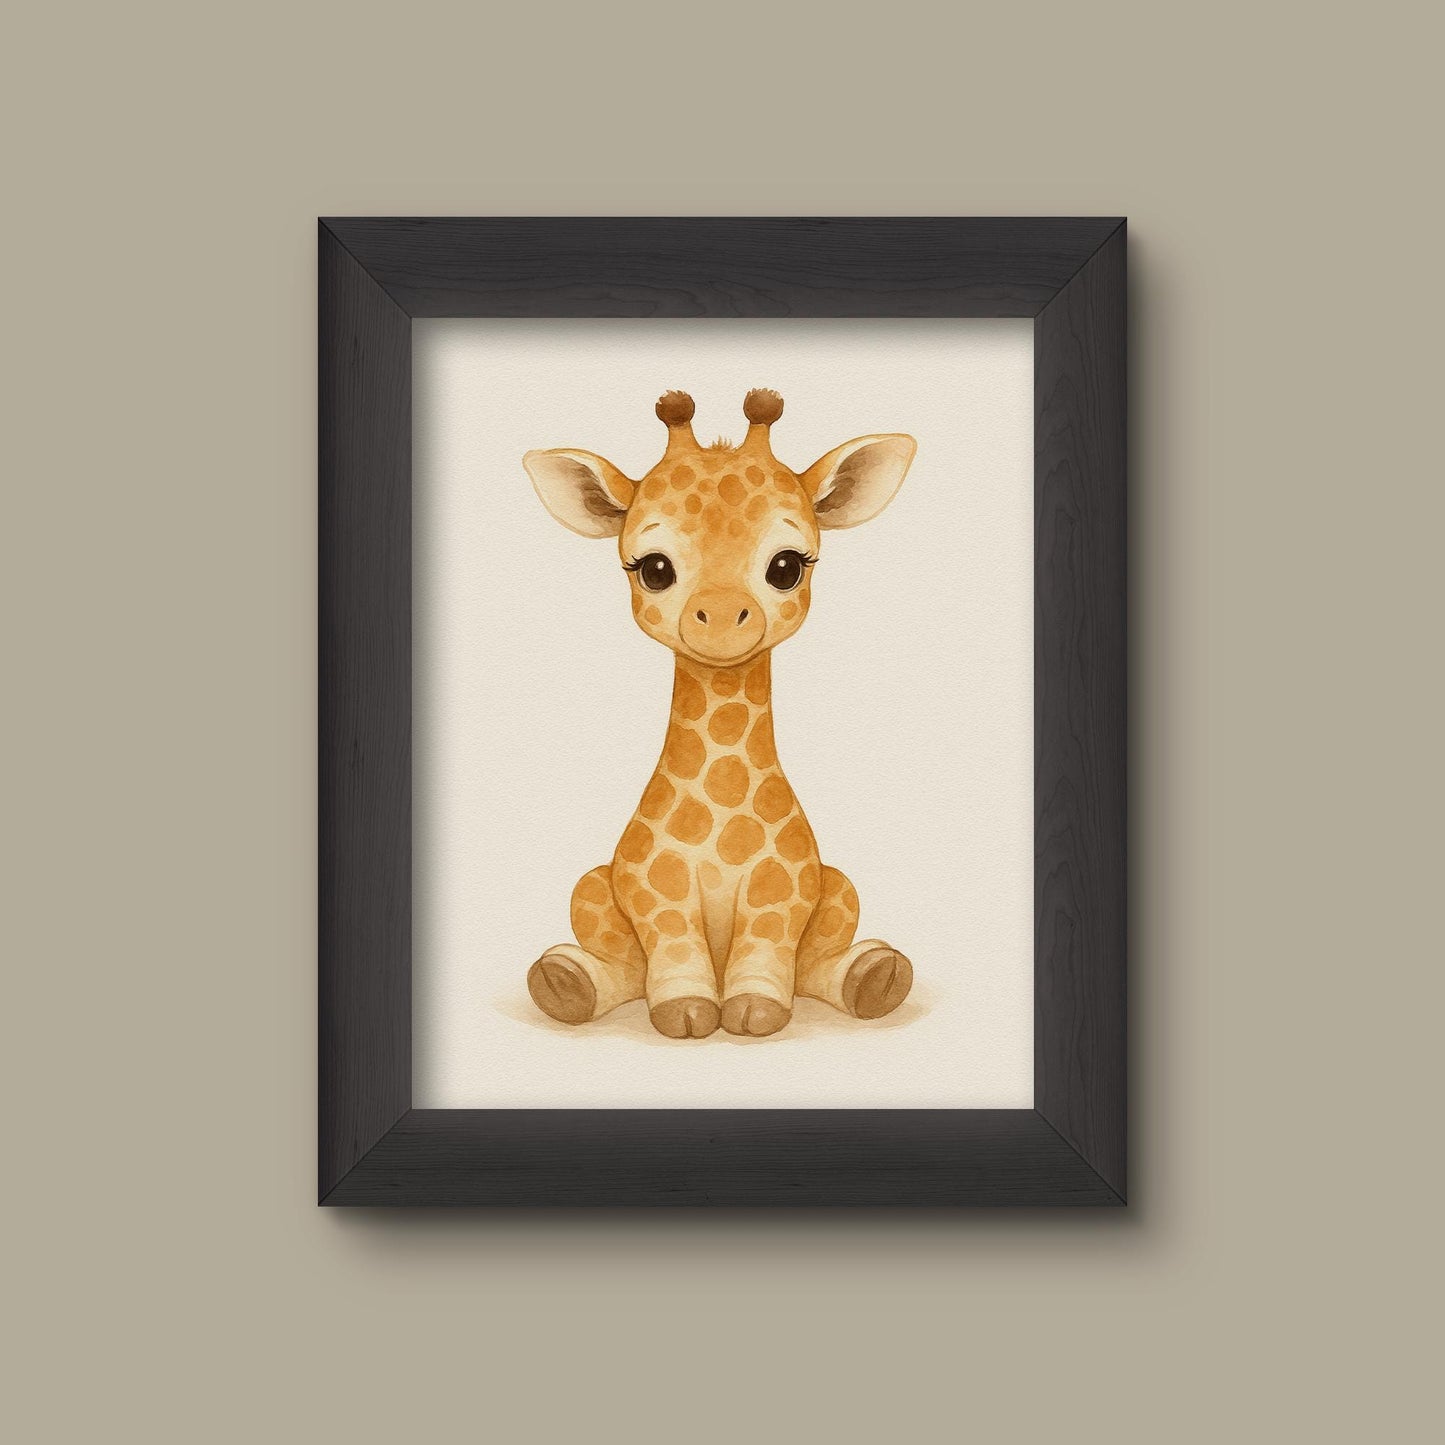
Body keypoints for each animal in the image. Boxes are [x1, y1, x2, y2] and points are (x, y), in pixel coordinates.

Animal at [523, 389, 916, 1039]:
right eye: (654, 568)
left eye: (787, 565)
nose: (724, 617)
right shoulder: (654, 886)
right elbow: (672, 944)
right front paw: (685, 1012)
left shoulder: (784, 884)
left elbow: (768, 944)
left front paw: (755, 1011)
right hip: (594, 887)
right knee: (618, 963)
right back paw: (563, 982)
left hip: (838, 886)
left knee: (821, 957)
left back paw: (876, 975)